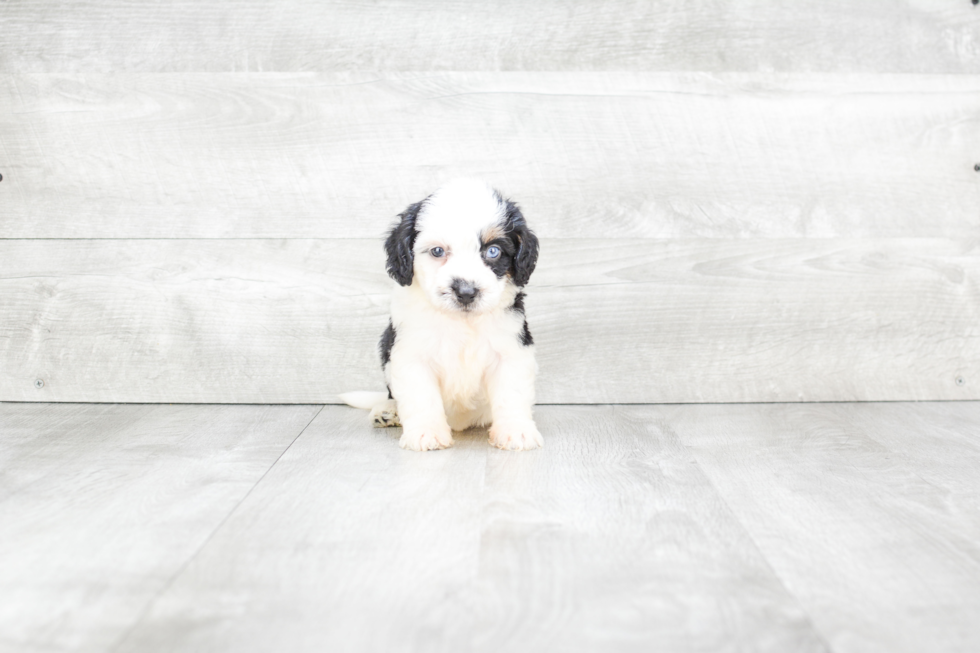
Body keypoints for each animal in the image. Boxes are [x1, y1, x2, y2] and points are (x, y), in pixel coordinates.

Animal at [340, 180, 544, 454]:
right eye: (437, 251)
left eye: (493, 251)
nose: (466, 291)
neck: (461, 321)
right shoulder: (411, 354)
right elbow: (420, 395)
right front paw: (426, 433)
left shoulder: (512, 348)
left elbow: (511, 393)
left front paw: (515, 431)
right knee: (392, 394)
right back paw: (387, 411)